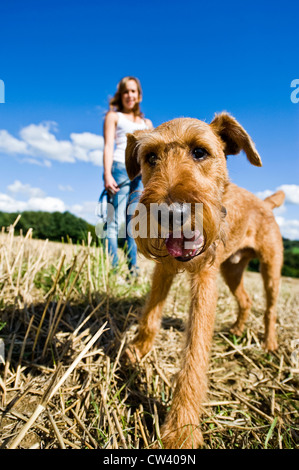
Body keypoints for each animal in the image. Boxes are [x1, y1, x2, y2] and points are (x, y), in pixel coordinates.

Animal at [124, 113, 286, 448]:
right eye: (150, 157)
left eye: (200, 152)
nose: (170, 213)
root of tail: (265, 203)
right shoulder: (164, 270)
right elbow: (150, 316)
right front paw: (138, 349)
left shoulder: (205, 279)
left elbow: (194, 354)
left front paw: (181, 429)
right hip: (232, 271)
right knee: (245, 300)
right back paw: (236, 330)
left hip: (270, 269)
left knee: (269, 309)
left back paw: (269, 344)